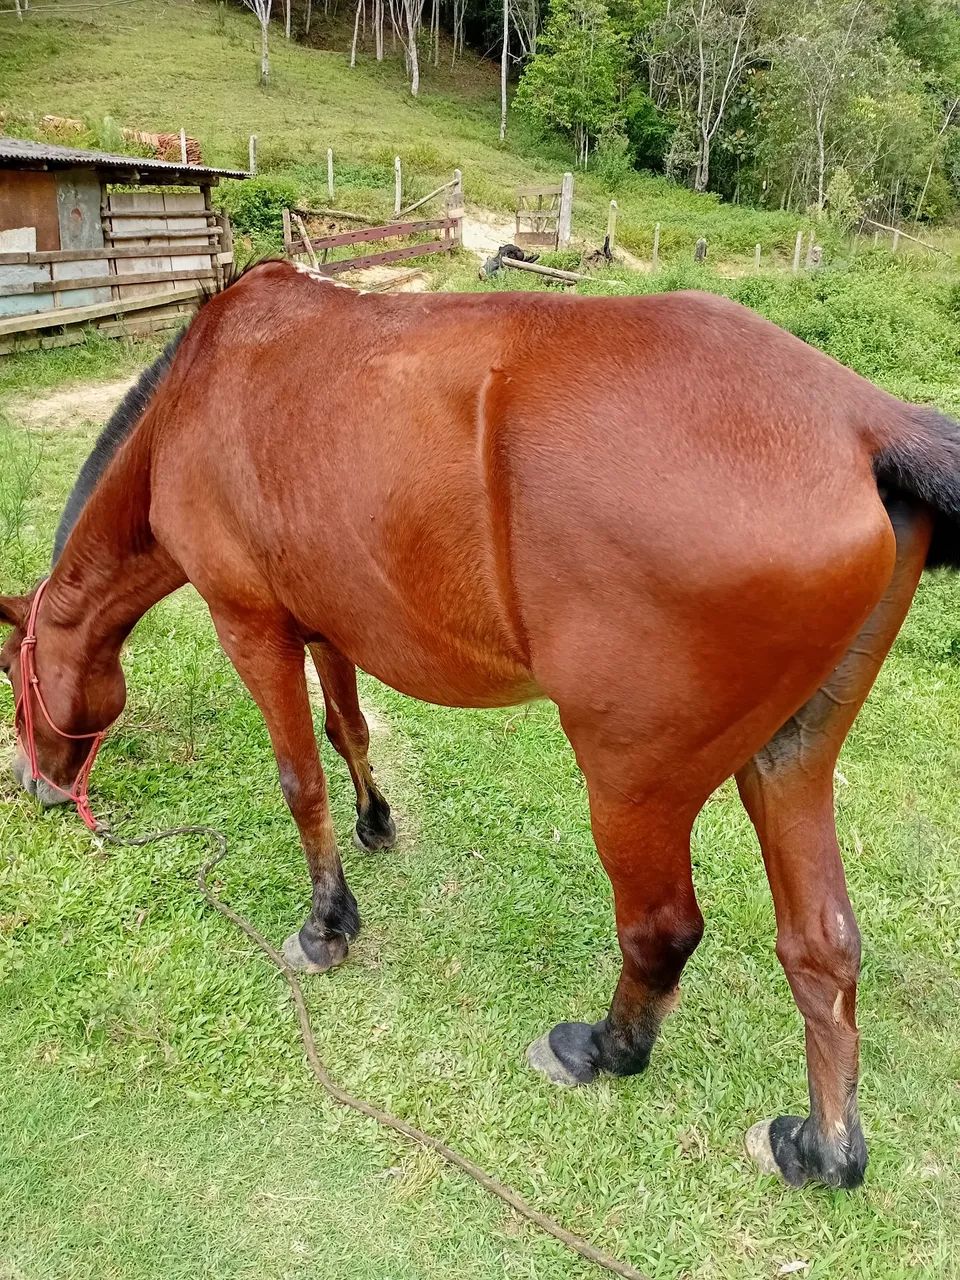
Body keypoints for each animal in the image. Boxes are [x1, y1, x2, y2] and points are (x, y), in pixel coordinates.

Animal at [2, 260, 958, 1191]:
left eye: (12, 676)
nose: (37, 787)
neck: (197, 396)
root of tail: (864, 422)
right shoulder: (329, 623)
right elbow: (350, 730)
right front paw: (375, 822)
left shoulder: (252, 626)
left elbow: (300, 779)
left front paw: (325, 927)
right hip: (790, 757)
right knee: (823, 947)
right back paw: (821, 1150)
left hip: (633, 783)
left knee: (662, 929)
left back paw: (601, 1052)